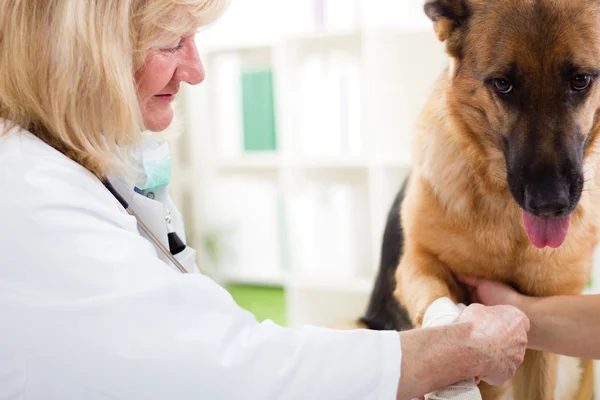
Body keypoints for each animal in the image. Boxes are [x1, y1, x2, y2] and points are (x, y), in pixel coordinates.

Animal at [358, 0, 600, 398]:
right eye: (503, 84)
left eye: (580, 80)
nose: (549, 203)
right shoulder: (416, 264)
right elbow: (441, 315)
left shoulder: (545, 319)